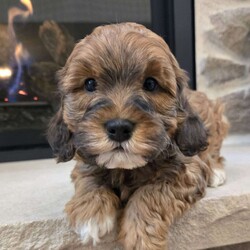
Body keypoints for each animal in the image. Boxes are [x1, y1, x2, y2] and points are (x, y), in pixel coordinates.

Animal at [47, 22, 229, 249]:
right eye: (90, 84)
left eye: (150, 84)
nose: (119, 128)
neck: (125, 168)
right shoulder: (84, 162)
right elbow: (89, 178)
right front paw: (90, 214)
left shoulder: (187, 171)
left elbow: (149, 193)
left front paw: (140, 236)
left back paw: (216, 172)